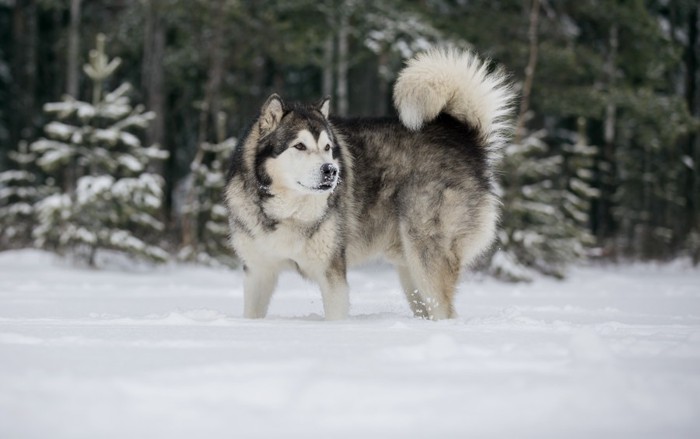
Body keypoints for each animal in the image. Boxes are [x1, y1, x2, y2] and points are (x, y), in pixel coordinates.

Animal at [224, 48, 516, 322]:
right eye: (299, 146)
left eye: (327, 147)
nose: (331, 171)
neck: (287, 211)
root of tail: (463, 138)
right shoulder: (258, 272)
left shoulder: (331, 272)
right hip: (410, 274)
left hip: (426, 259)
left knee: (447, 313)